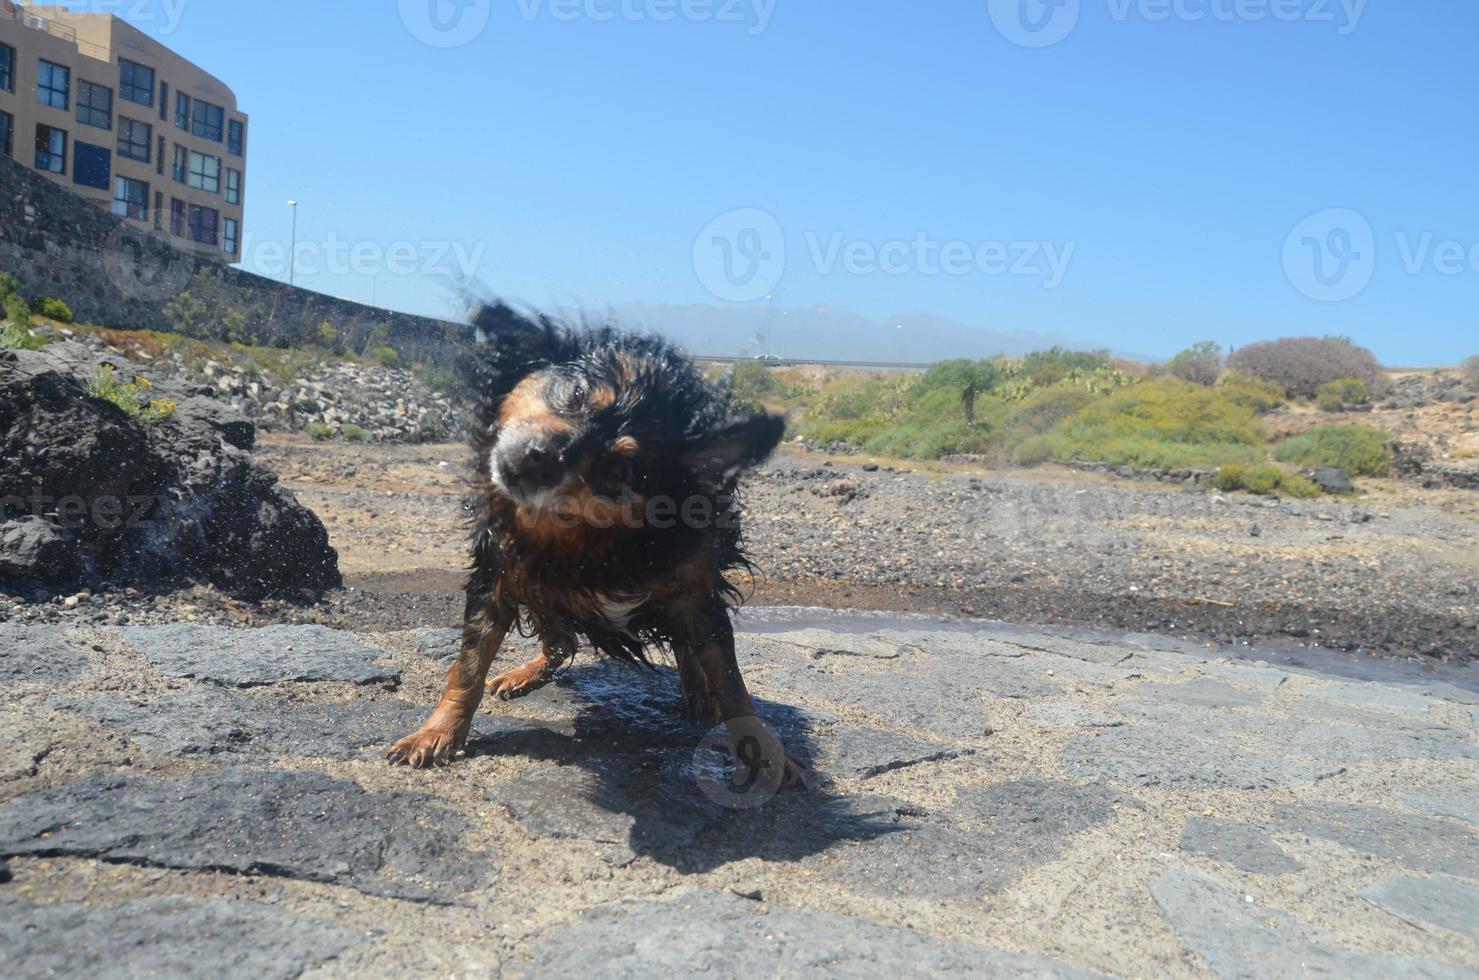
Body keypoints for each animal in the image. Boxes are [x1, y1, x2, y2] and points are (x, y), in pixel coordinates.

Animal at [381, 307, 798, 780]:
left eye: (618, 468)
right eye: (577, 394)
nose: (539, 456)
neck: (587, 540)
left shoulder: (696, 590)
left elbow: (729, 679)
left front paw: (762, 747)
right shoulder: (498, 574)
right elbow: (468, 666)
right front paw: (438, 732)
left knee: (680, 648)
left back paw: (695, 691)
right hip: (544, 594)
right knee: (560, 641)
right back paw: (525, 673)